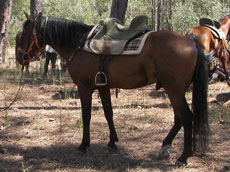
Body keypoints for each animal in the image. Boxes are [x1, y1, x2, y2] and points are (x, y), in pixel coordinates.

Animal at [17, 12, 209, 166]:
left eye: (24, 34)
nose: (20, 58)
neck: (79, 44)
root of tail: (192, 43)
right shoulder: (103, 86)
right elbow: (108, 113)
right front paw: (112, 141)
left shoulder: (85, 87)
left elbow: (86, 116)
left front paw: (84, 145)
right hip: (175, 90)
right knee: (178, 118)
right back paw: (165, 145)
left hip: (174, 90)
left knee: (186, 117)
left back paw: (183, 157)